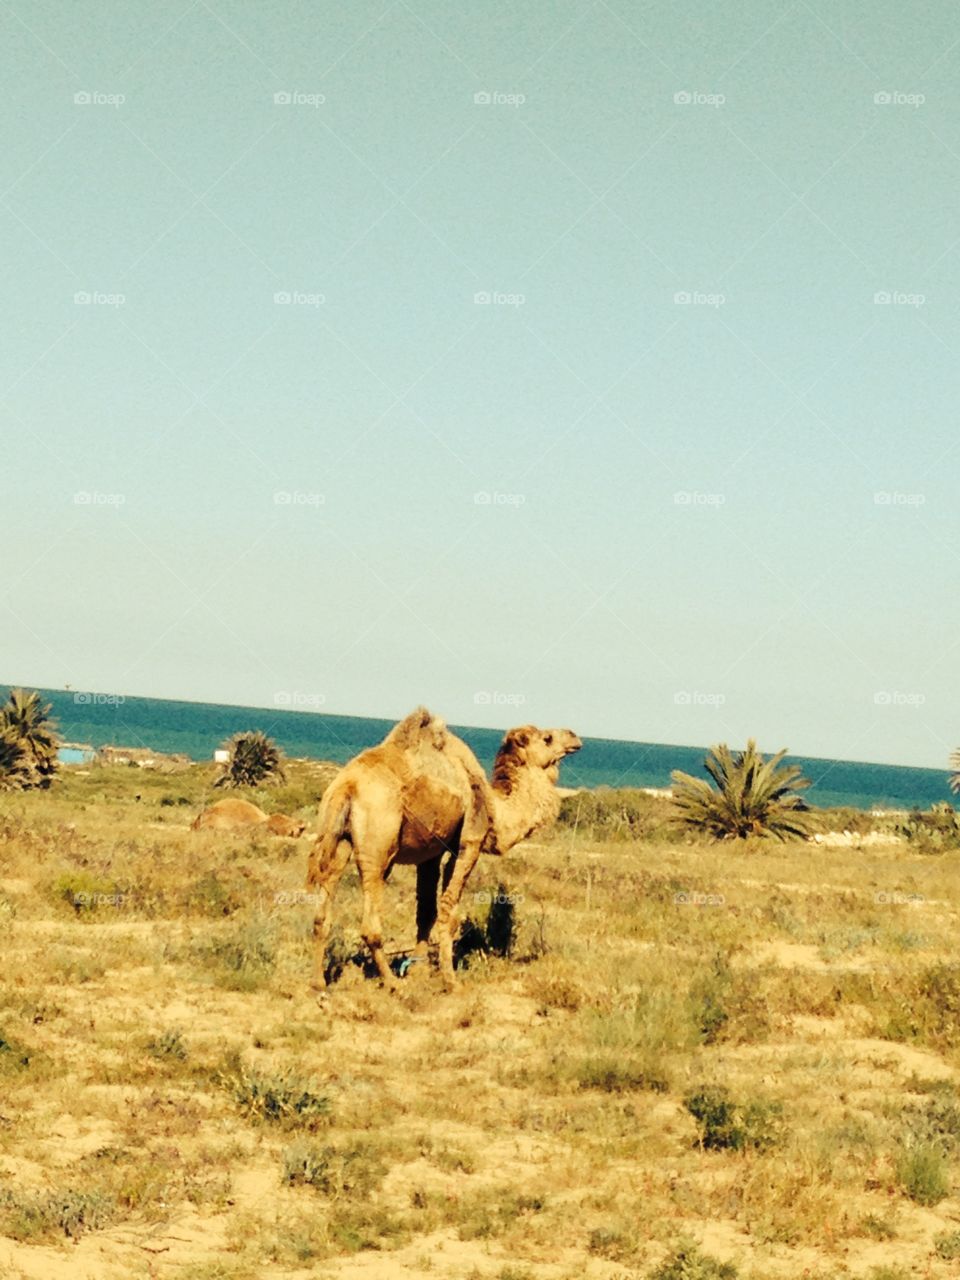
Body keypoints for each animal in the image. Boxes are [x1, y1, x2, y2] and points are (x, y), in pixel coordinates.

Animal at [306, 707, 581, 995]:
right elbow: (449, 912)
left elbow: (426, 911)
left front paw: (418, 970)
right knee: (370, 924)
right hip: (378, 846)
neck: (495, 809)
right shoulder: (468, 844)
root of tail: (346, 787)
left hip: (337, 840)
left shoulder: (431, 853)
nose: (574, 736)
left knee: (321, 912)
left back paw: (318, 982)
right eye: (547, 738)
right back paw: (392, 982)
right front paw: (449, 979)